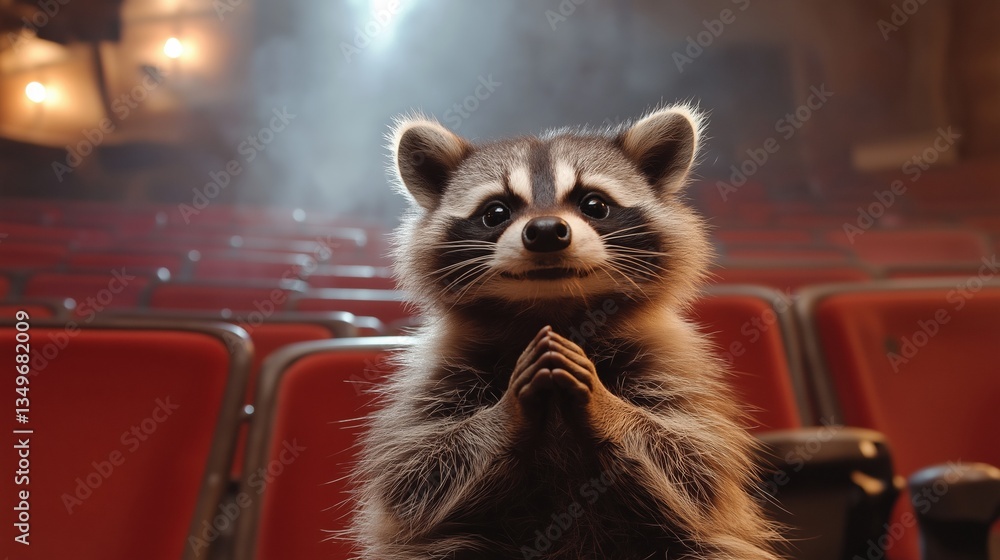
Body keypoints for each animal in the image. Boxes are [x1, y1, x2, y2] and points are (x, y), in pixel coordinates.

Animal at [351, 106, 780, 559]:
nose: (544, 231)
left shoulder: (669, 362)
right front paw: (508, 411)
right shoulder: (438, 370)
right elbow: (412, 472)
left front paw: (606, 407)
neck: (553, 308)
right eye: (496, 212)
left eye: (594, 204)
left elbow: (698, 465)